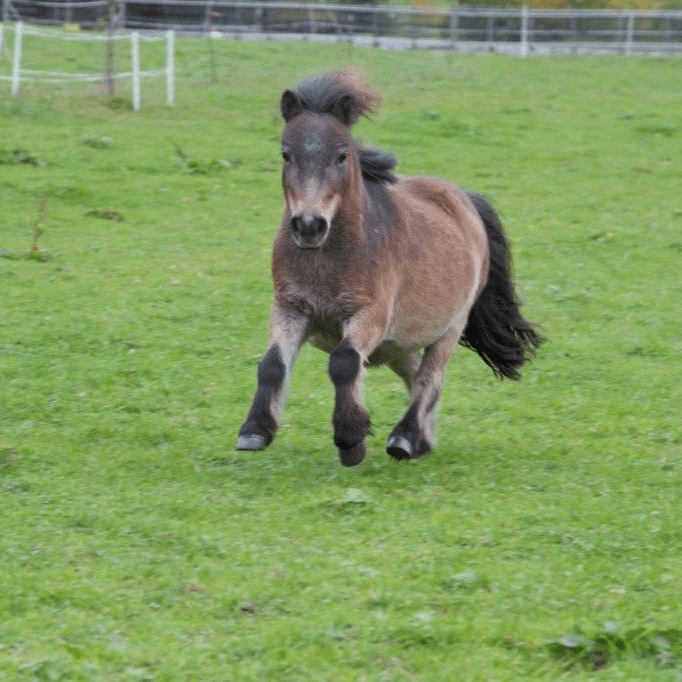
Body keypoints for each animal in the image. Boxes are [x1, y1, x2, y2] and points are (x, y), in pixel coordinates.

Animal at [236, 68, 543, 467]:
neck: (329, 257)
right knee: (414, 375)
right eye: (286, 154)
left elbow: (344, 362)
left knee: (430, 379)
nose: (309, 225)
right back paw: (423, 440)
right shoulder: (291, 309)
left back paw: (405, 439)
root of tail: (465, 201)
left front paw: (350, 439)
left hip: (448, 329)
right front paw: (254, 431)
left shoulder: (370, 315)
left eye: (342, 156)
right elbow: (272, 365)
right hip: (398, 342)